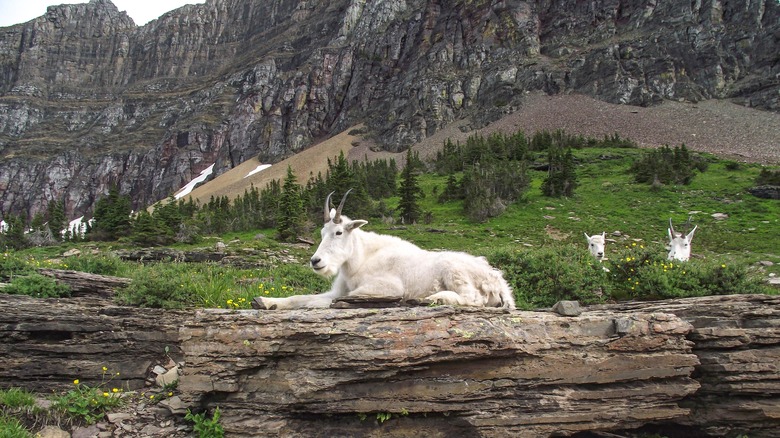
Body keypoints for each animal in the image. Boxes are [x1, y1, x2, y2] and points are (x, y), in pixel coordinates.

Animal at [253, 190, 516, 310]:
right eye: (321, 233)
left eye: (338, 233)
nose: (316, 261)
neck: (360, 260)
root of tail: (499, 283)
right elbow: (301, 297)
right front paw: (265, 301)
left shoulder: (387, 287)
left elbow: (341, 298)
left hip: (454, 271)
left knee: (472, 299)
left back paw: (433, 298)